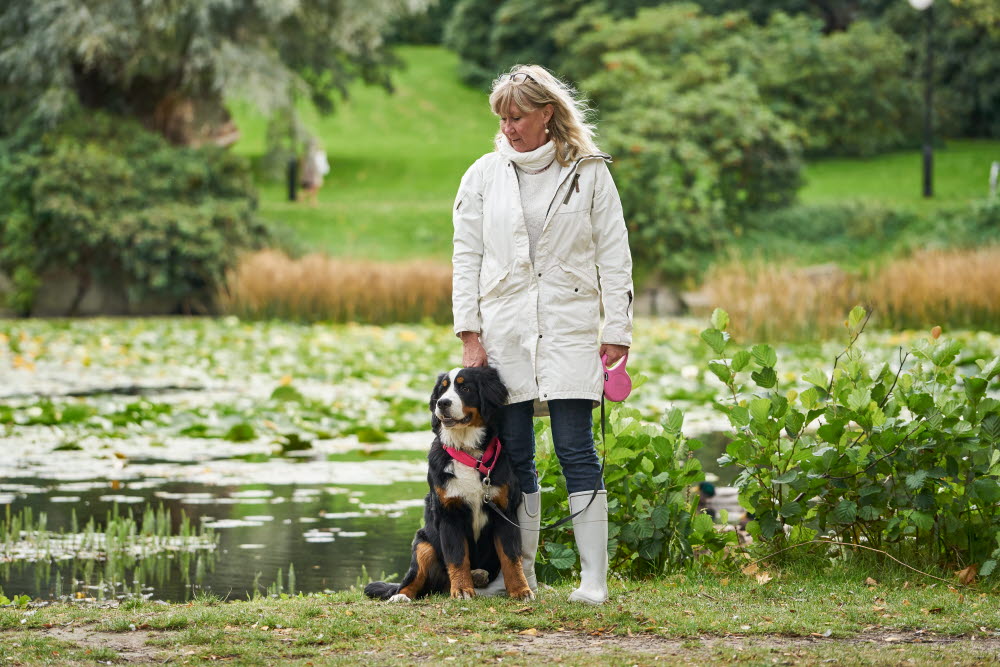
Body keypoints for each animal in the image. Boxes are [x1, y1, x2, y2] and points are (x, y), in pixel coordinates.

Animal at [360, 368, 532, 604]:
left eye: (465, 388)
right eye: (441, 390)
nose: (442, 403)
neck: (468, 454)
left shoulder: (504, 512)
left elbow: (511, 557)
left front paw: (520, 590)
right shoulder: (449, 513)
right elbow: (457, 558)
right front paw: (461, 590)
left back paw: (479, 577)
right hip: (423, 544)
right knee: (411, 581)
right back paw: (401, 596)